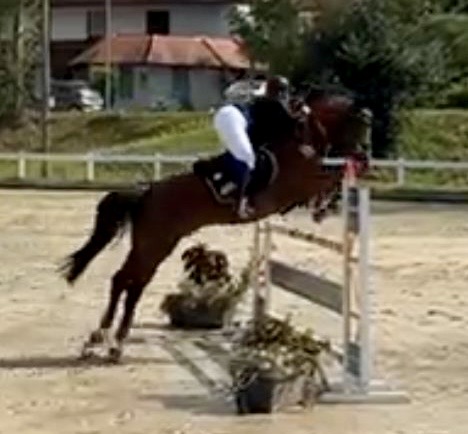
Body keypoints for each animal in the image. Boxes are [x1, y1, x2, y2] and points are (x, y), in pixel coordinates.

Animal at [59, 89, 372, 362]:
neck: (300, 136)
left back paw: (107, 342)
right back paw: (105, 341)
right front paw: (326, 203)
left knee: (129, 282)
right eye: (360, 127)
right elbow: (332, 175)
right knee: (126, 281)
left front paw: (325, 204)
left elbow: (332, 177)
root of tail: (147, 192)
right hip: (154, 244)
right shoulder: (302, 180)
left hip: (157, 244)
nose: (366, 153)